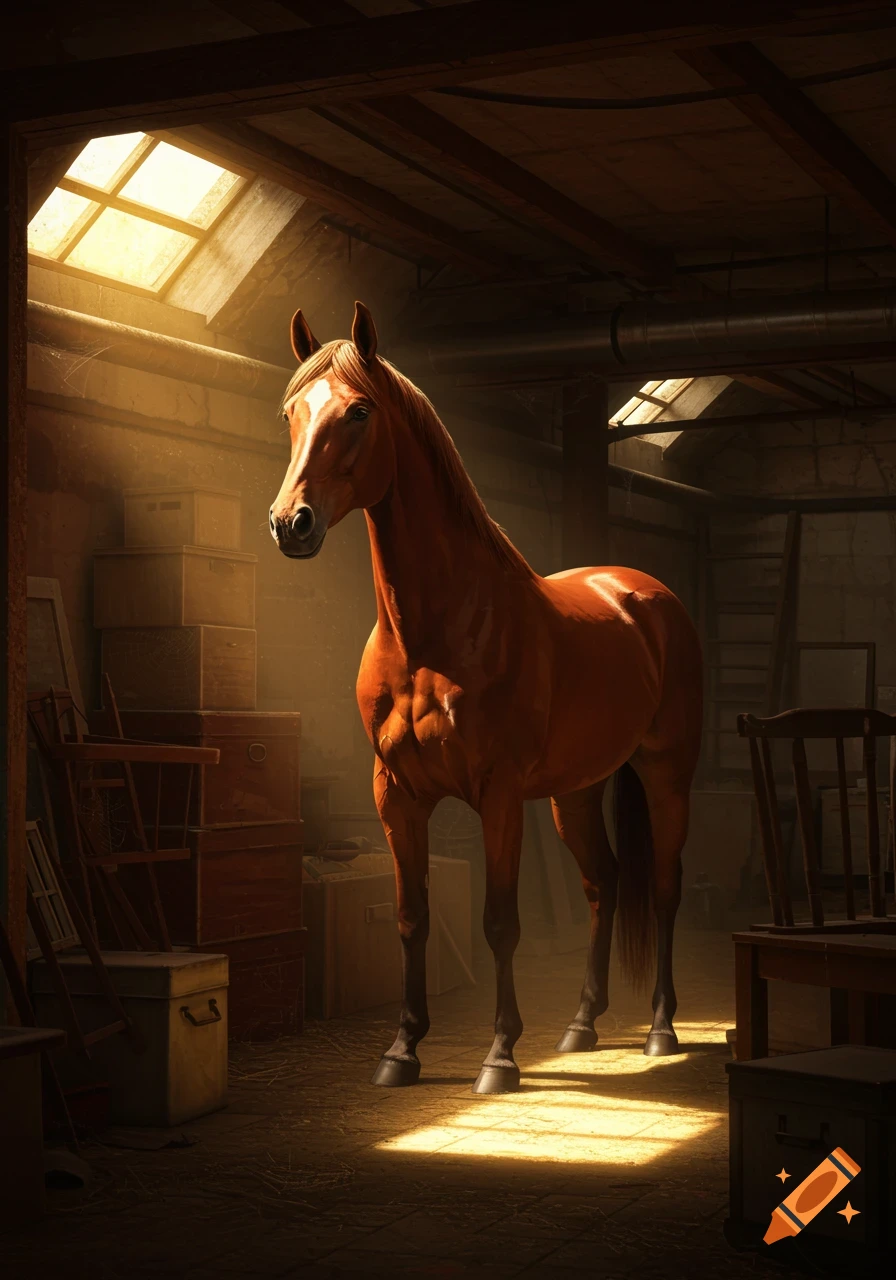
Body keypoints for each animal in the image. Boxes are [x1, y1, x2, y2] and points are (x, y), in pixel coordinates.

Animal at [270, 301, 703, 1095]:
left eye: (358, 411)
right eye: (291, 412)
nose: (292, 523)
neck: (433, 634)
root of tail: (645, 593)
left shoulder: (498, 793)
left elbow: (500, 921)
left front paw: (499, 1057)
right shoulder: (396, 794)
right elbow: (411, 916)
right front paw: (401, 1051)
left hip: (666, 775)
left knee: (661, 886)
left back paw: (660, 1029)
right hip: (576, 792)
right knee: (603, 883)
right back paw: (581, 1025)